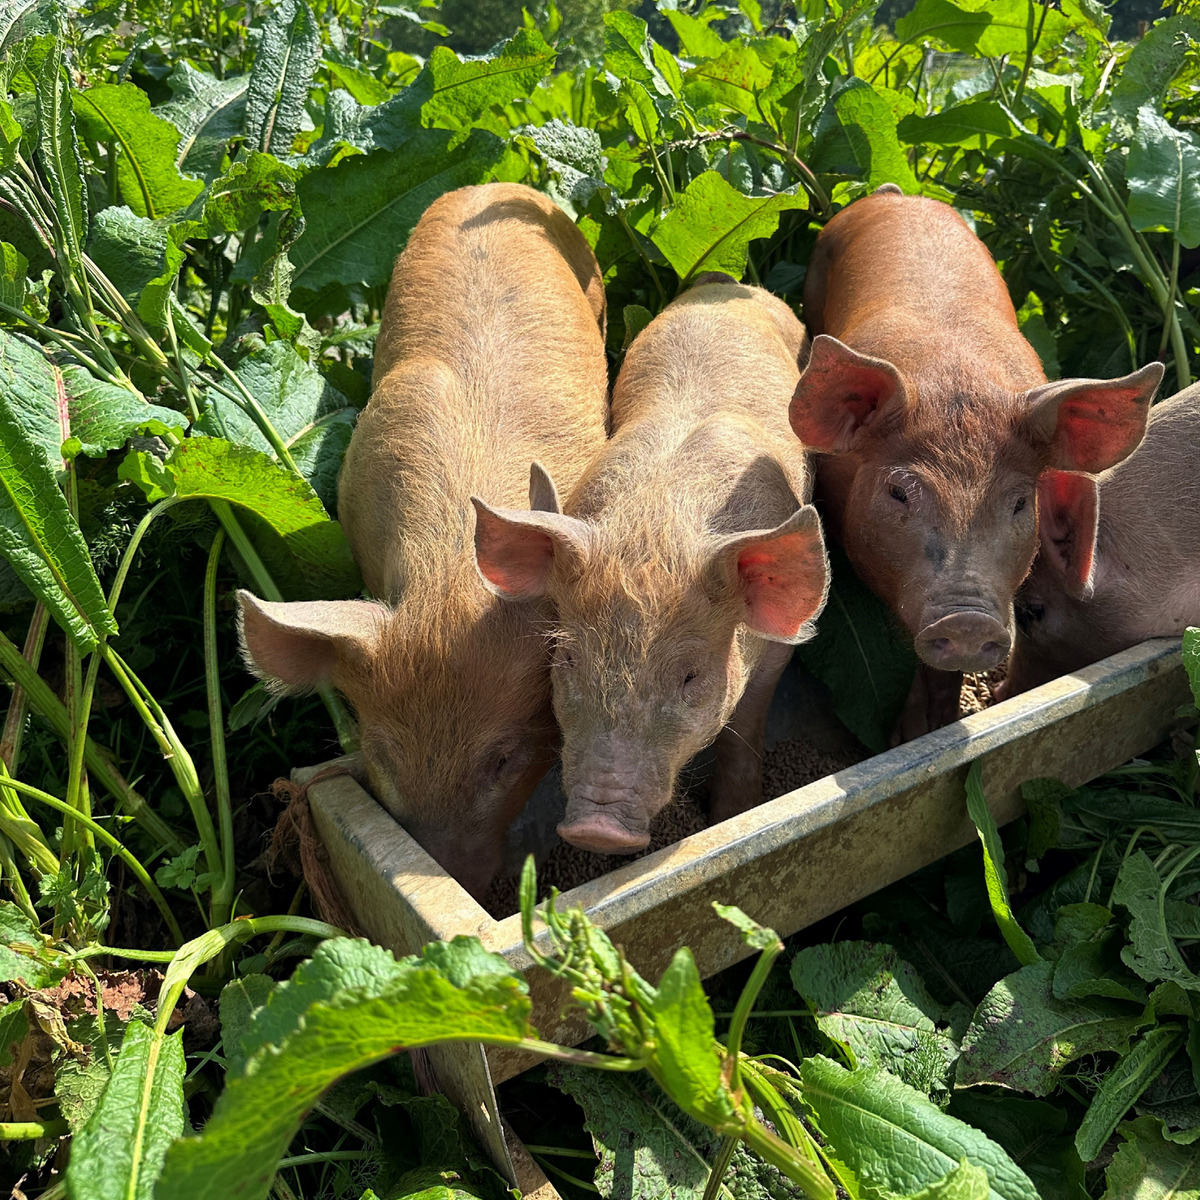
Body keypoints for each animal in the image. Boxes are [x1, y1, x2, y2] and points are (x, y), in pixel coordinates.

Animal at [472, 280, 830, 854]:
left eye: (690, 676)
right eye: (567, 659)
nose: (596, 830)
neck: (657, 529)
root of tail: (729, 285)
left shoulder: (777, 651)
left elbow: (747, 724)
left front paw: (733, 814)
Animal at [787, 183, 1161, 739]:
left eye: (1020, 502)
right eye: (898, 491)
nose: (968, 620)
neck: (954, 375)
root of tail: (891, 193)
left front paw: (939, 727)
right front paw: (906, 736)